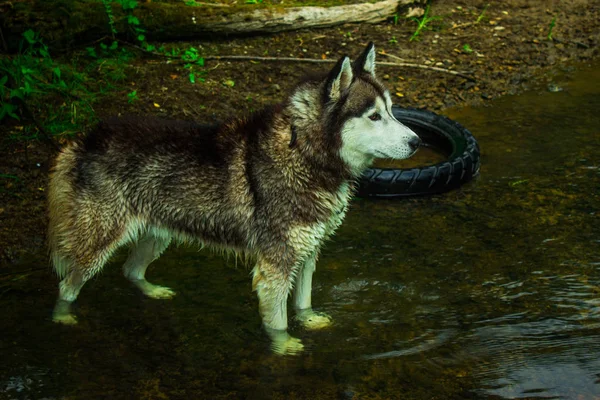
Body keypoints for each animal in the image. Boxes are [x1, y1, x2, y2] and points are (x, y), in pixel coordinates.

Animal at [49, 43, 420, 354]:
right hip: (98, 244)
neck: (303, 151)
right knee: (67, 284)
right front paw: (283, 347)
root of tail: (83, 139)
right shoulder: (275, 266)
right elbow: (278, 321)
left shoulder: (308, 252)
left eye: (391, 110)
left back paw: (152, 290)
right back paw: (61, 317)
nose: (417, 141)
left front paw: (309, 321)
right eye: (374, 116)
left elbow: (303, 301)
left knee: (130, 270)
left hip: (158, 233)